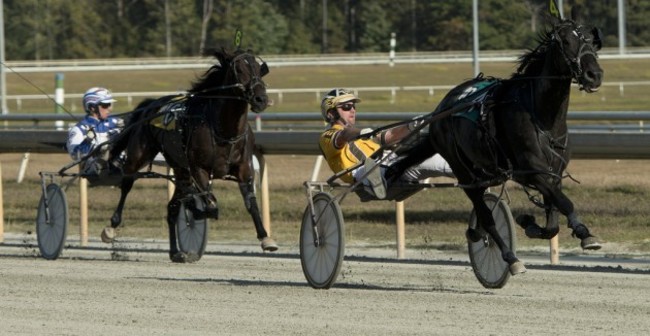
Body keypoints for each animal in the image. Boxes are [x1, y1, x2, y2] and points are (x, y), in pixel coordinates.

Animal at [104, 47, 276, 262]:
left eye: (259, 69)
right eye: (239, 70)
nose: (261, 99)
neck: (224, 130)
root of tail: (152, 104)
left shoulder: (244, 168)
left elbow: (250, 204)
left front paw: (265, 238)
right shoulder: (199, 169)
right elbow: (211, 206)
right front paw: (194, 209)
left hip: (179, 167)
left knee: (172, 206)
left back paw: (175, 251)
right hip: (139, 155)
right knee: (127, 184)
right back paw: (111, 227)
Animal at [384, 7, 604, 276]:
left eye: (592, 41)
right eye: (565, 42)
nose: (594, 75)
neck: (544, 118)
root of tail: (441, 110)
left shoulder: (554, 174)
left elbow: (553, 220)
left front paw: (529, 222)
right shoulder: (533, 172)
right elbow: (564, 203)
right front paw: (585, 233)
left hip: (484, 171)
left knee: (483, 214)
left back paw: (477, 231)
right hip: (464, 173)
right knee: (486, 217)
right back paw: (509, 257)